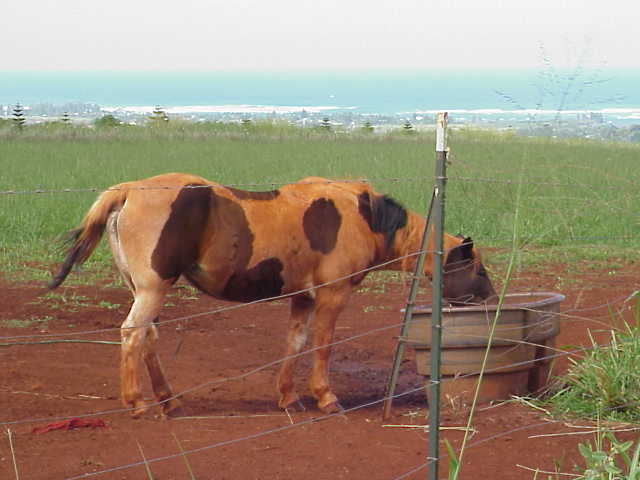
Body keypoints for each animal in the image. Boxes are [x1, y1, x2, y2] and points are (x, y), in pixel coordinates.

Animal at [52, 172, 498, 416]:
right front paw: (325, 397)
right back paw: (139, 402)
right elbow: (322, 346)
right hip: (152, 290)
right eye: (477, 268)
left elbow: (294, 343)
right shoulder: (332, 295)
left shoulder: (303, 297)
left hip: (145, 291)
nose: (492, 299)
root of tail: (128, 190)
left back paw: (168, 401)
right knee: (132, 334)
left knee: (148, 338)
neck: (364, 217)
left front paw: (288, 397)